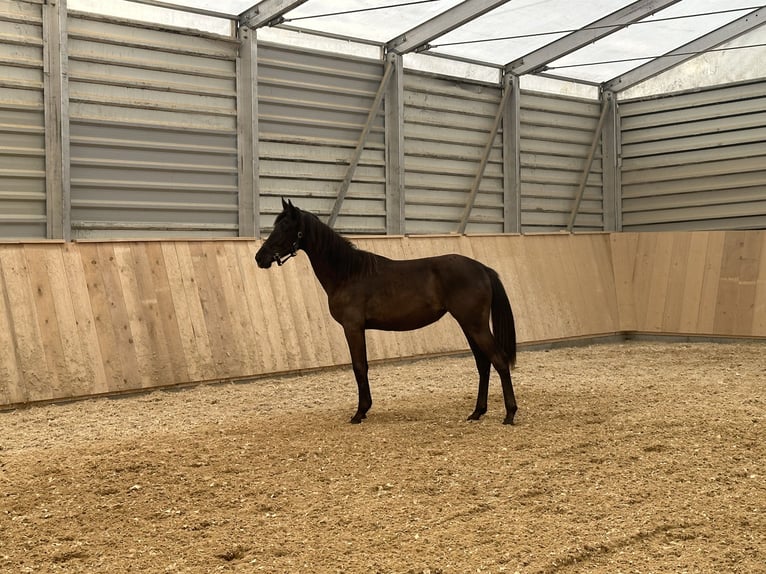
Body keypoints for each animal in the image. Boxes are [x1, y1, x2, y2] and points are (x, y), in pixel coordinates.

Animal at [258, 200, 520, 426]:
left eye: (285, 227)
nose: (259, 258)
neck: (348, 274)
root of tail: (482, 268)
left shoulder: (353, 328)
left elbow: (359, 367)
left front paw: (359, 412)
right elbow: (362, 366)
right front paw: (364, 410)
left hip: (475, 325)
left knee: (498, 360)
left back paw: (509, 414)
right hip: (468, 325)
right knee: (483, 364)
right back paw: (477, 412)